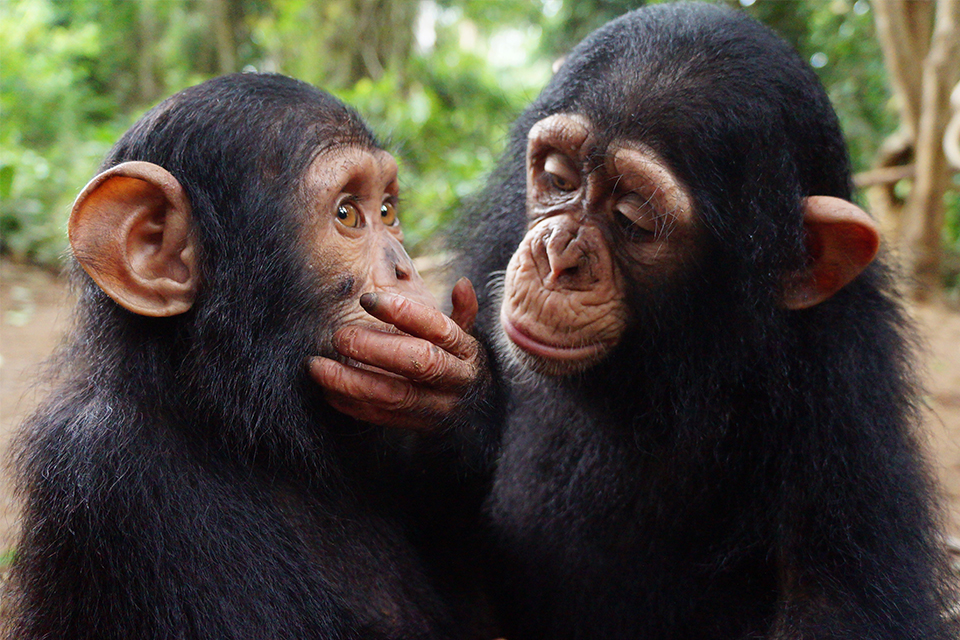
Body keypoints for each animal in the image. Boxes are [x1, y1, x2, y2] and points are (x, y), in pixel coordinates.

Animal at [7, 72, 498, 640]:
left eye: (387, 212)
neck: (242, 428)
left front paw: (457, 396)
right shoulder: (114, 473)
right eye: (348, 213)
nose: (404, 268)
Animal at [322, 3, 960, 640]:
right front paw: (452, 403)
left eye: (635, 218)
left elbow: (835, 601)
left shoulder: (845, 403)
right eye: (559, 177)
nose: (558, 255)